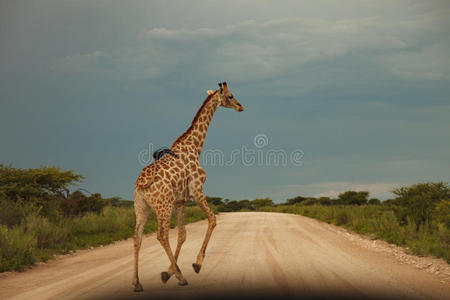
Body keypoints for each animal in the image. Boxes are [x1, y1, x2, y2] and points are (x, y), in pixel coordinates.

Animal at [132, 81, 243, 290]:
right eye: (230, 96)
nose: (241, 107)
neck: (195, 147)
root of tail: (141, 184)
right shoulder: (197, 189)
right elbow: (212, 219)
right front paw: (195, 265)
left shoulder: (180, 201)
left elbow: (182, 234)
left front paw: (167, 273)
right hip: (163, 206)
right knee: (161, 235)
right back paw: (182, 276)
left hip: (141, 207)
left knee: (137, 237)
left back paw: (137, 283)